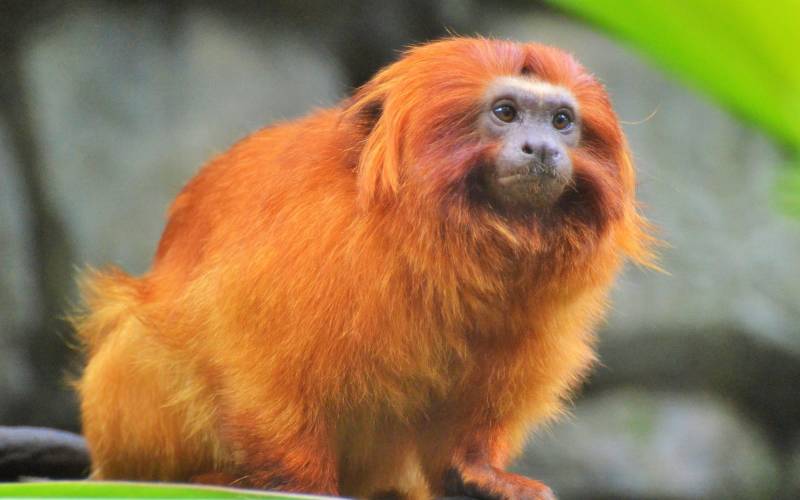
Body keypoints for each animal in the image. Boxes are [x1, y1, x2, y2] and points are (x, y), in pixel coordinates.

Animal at [73, 37, 654, 500]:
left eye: (562, 121)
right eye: (506, 112)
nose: (543, 149)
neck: (446, 247)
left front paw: (477, 471)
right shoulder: (305, 251)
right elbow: (259, 365)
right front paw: (303, 484)